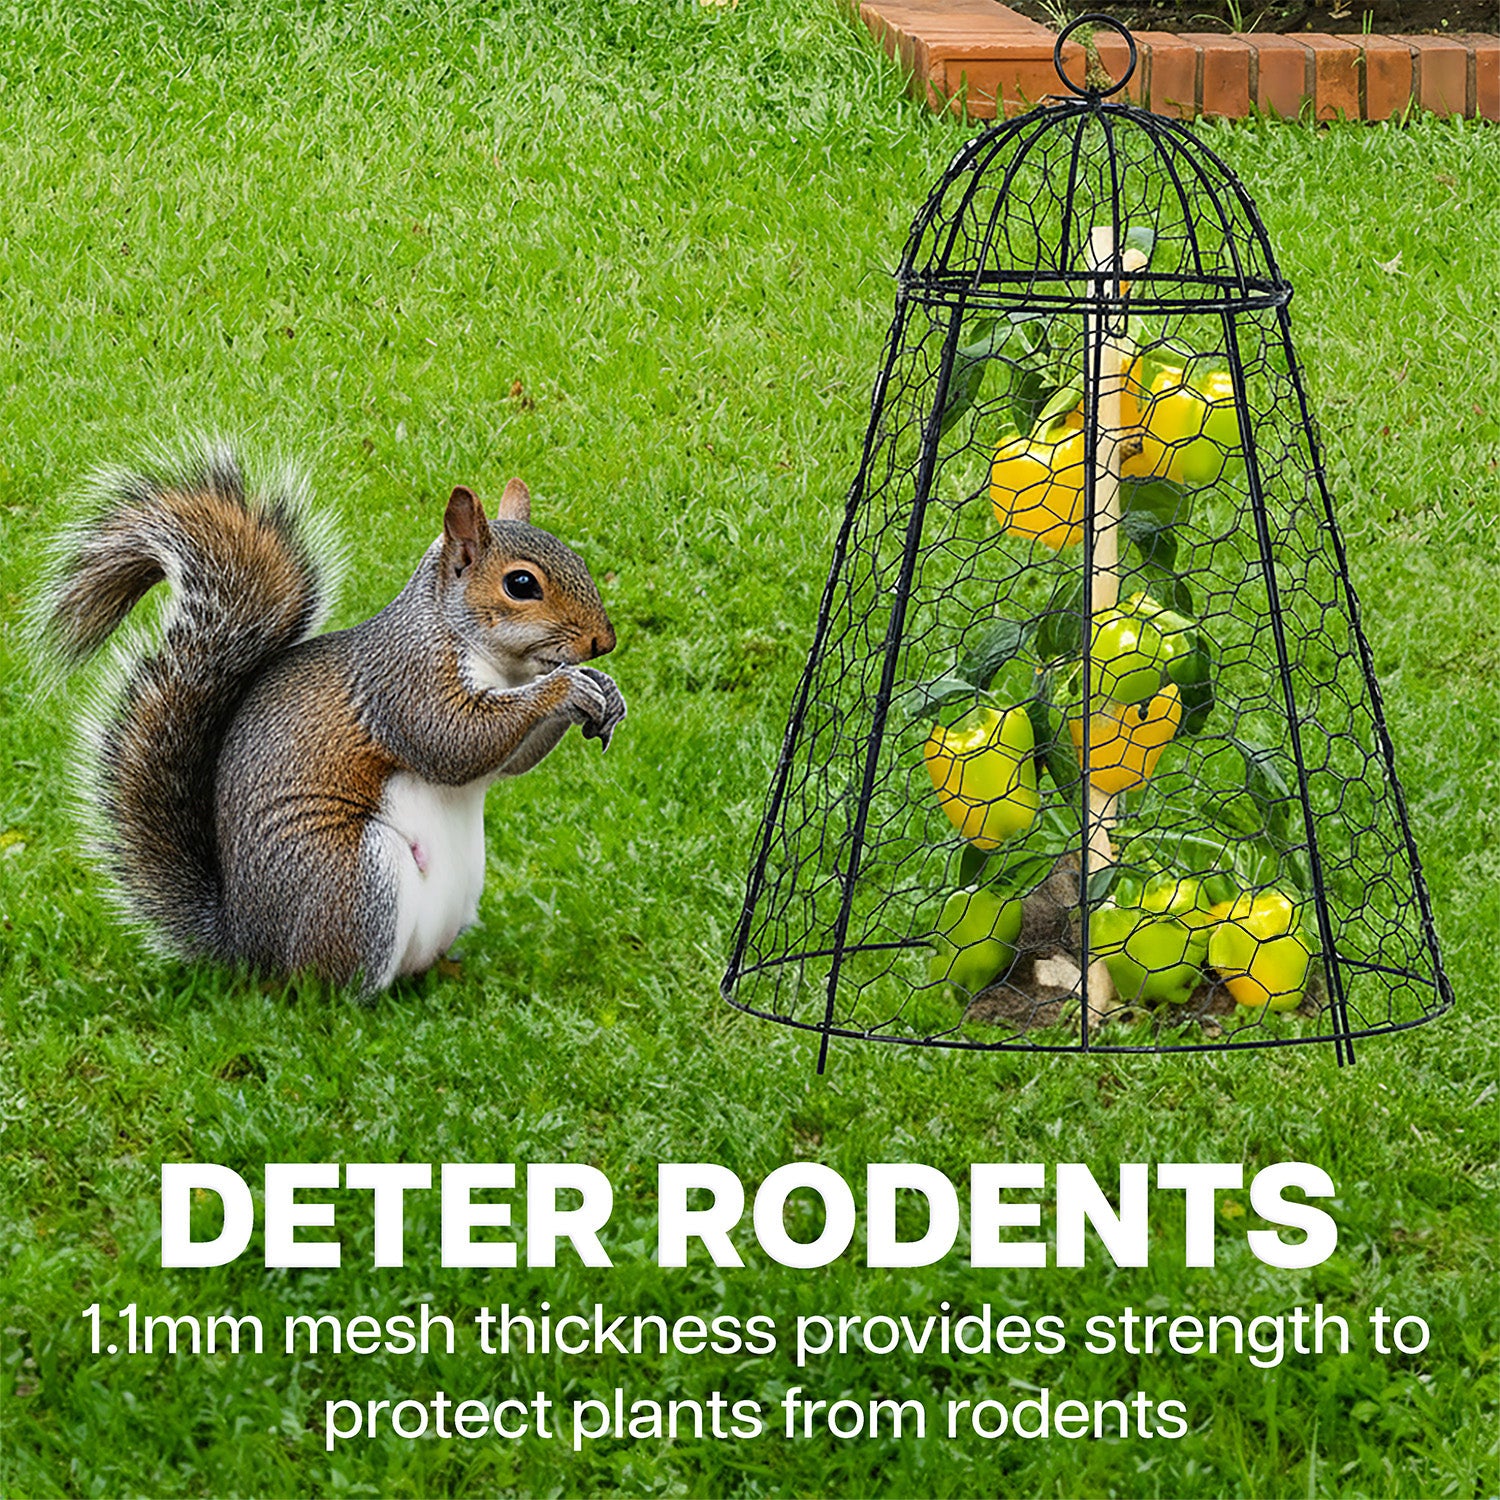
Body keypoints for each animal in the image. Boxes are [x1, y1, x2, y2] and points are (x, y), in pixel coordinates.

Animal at [37, 441, 625, 994]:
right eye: (521, 585)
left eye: (578, 560)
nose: (604, 642)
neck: (497, 663)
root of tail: (248, 948)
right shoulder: (403, 683)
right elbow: (452, 741)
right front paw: (567, 686)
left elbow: (506, 762)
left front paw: (604, 691)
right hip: (352, 880)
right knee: (327, 986)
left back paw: (446, 974)